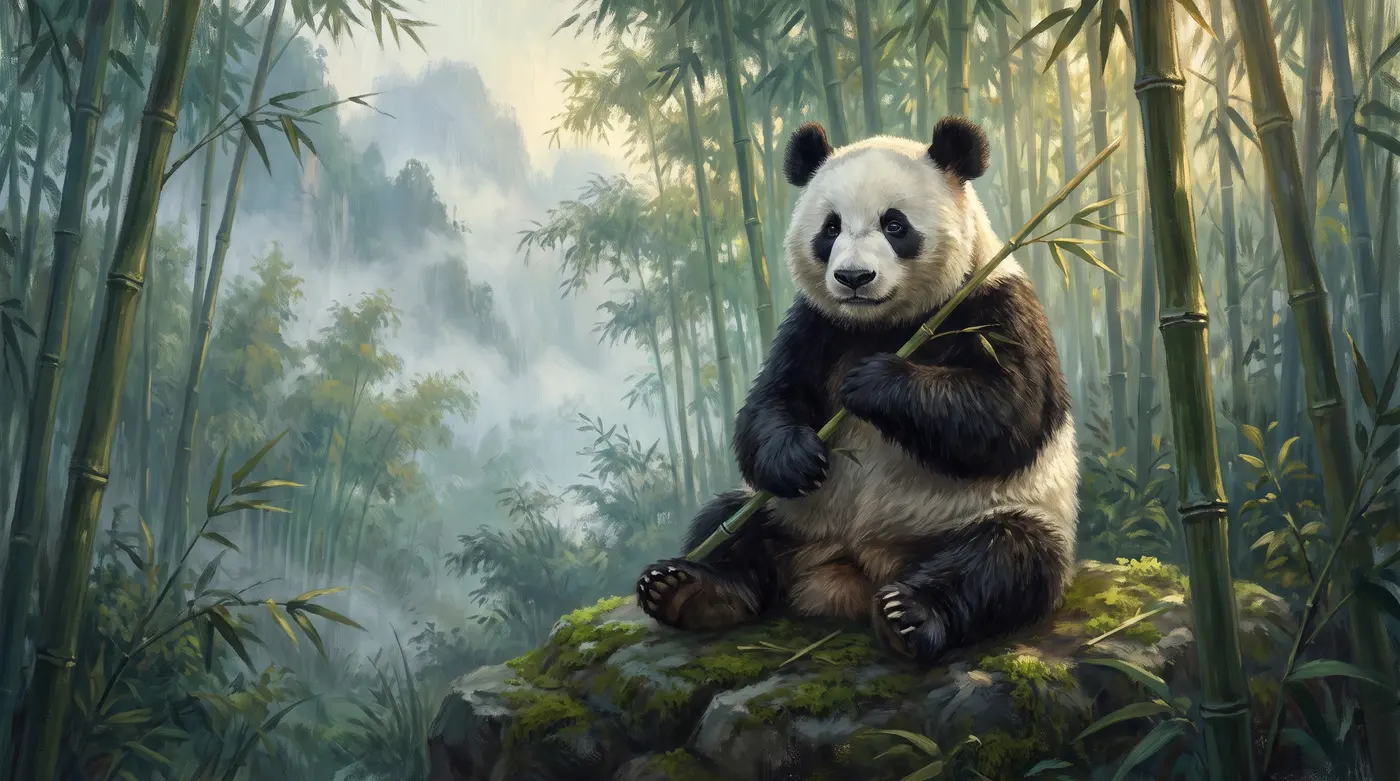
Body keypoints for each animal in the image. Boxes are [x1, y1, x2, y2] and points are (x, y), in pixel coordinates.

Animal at [635, 116, 1079, 664]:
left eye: (895, 225)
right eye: (831, 227)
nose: (853, 277)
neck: (884, 324)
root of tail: (852, 572)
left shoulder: (991, 304)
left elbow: (1011, 412)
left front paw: (872, 382)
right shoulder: (815, 324)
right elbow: (770, 401)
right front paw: (797, 456)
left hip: (983, 516)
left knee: (1007, 559)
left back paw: (910, 615)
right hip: (792, 515)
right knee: (730, 523)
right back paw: (688, 590)